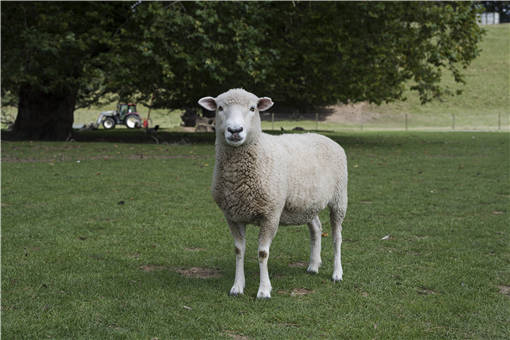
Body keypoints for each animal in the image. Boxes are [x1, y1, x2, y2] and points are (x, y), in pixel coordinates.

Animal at [198, 89, 346, 298]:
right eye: (220, 108)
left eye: (253, 108)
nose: (235, 131)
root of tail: (324, 137)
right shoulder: (232, 216)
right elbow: (238, 250)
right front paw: (237, 286)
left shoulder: (271, 214)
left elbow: (263, 253)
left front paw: (264, 290)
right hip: (307, 204)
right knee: (316, 228)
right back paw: (313, 265)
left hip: (339, 198)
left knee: (337, 236)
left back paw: (337, 273)